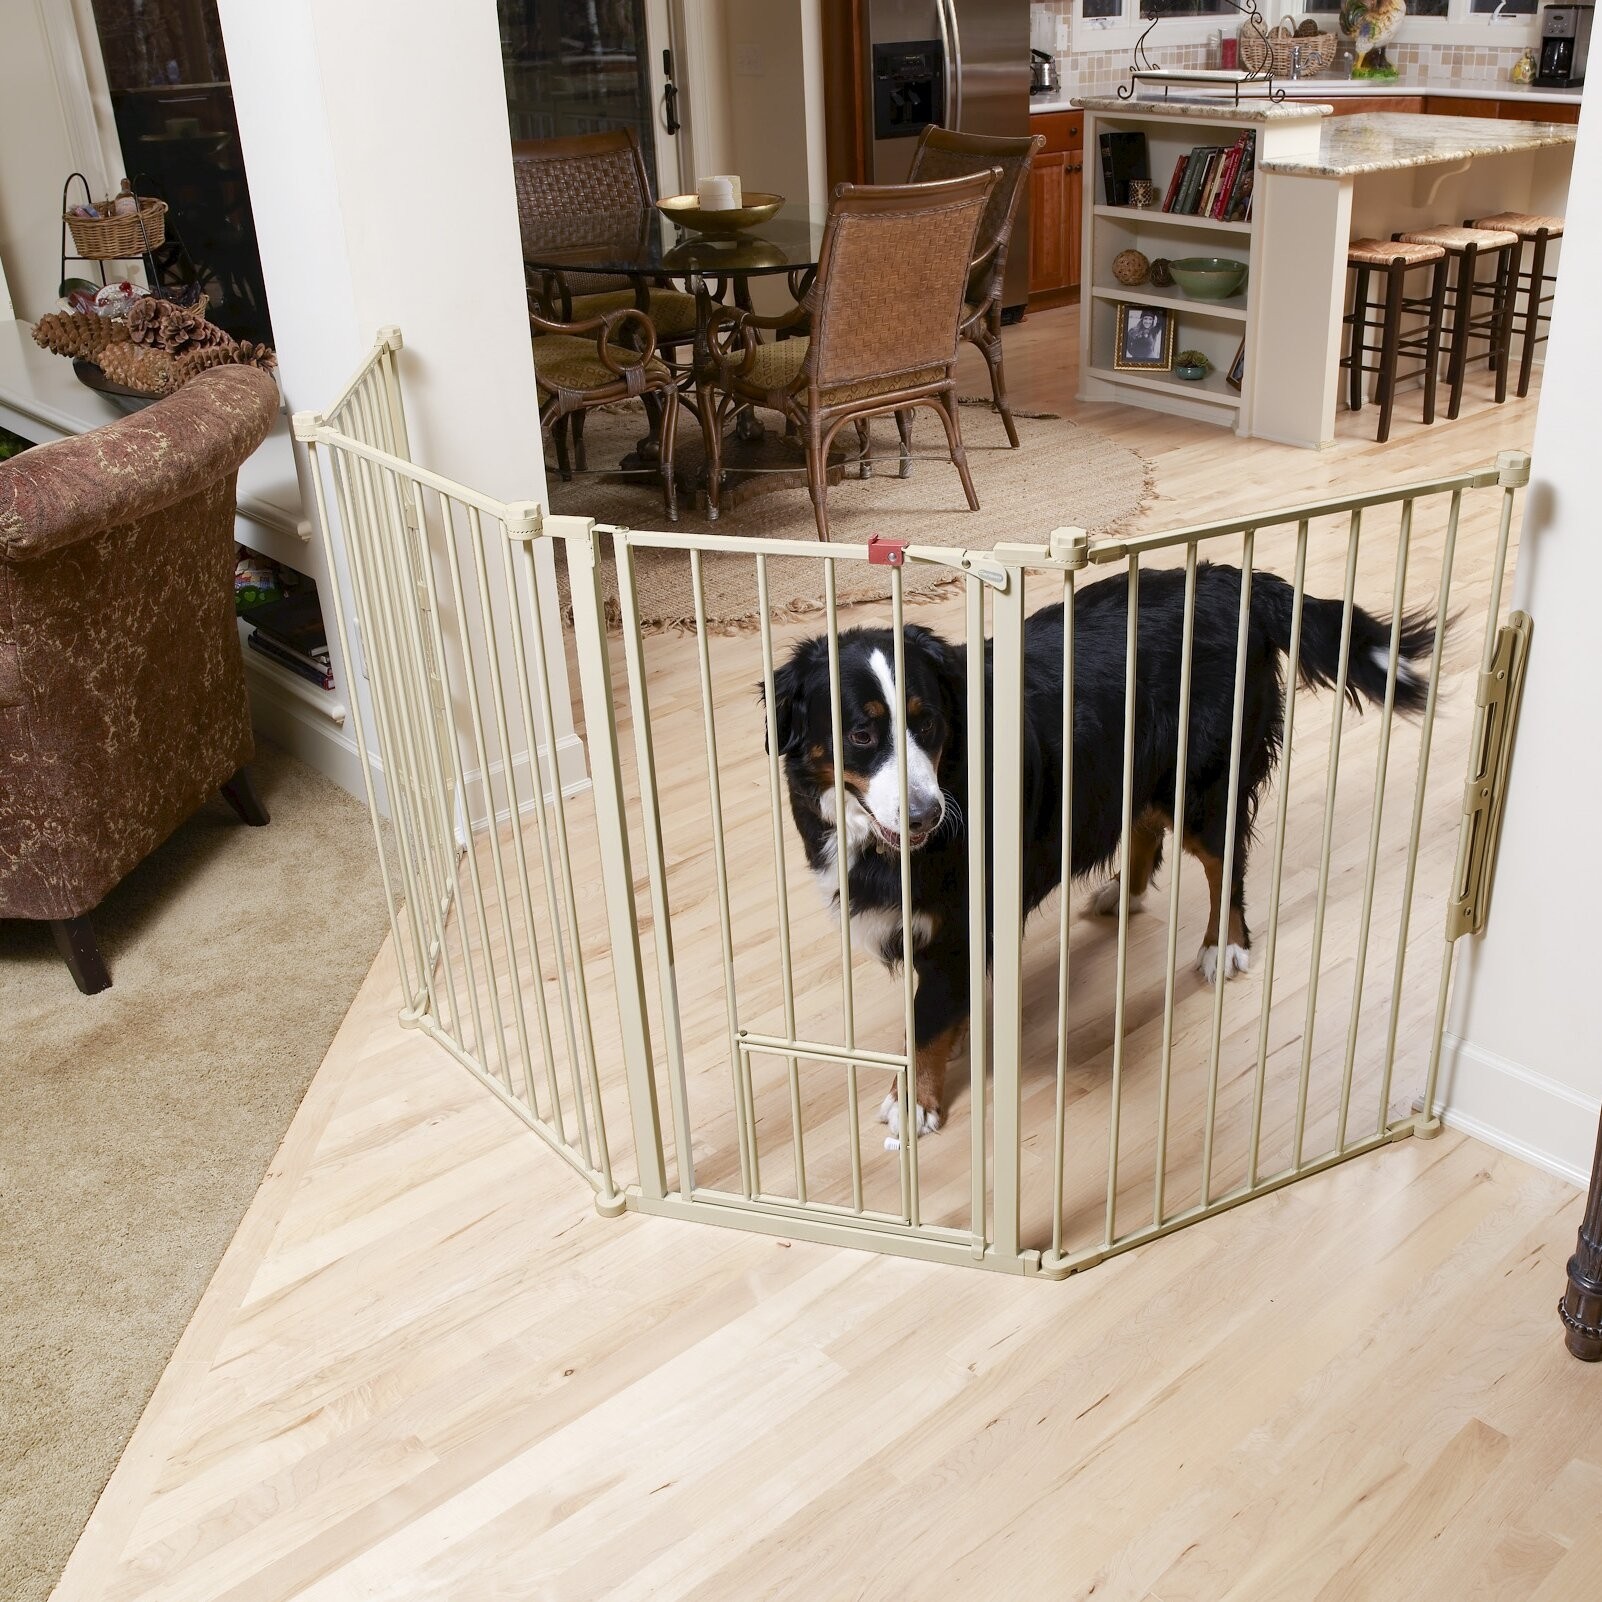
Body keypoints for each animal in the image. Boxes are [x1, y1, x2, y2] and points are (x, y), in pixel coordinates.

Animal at [768, 563, 1435, 1140]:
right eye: (861, 734)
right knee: (1145, 829)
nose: (925, 815)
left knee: (1225, 863)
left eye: (927, 723)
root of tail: (1230, 578)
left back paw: (1223, 946)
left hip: (1201, 783)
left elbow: (927, 1017)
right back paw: (1123, 893)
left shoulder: (960, 922)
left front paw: (914, 1101)